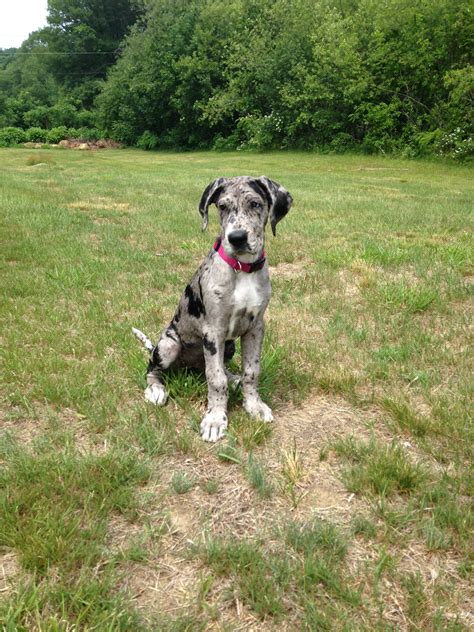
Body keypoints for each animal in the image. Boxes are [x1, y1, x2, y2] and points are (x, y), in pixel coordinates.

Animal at [133, 173, 292, 440]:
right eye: (222, 207)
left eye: (255, 204)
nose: (236, 238)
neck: (242, 270)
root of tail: (187, 366)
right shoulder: (213, 331)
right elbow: (216, 380)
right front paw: (215, 419)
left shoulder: (255, 328)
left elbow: (252, 371)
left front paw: (254, 405)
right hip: (167, 346)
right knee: (153, 369)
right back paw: (156, 390)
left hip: (228, 346)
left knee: (216, 368)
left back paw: (234, 378)